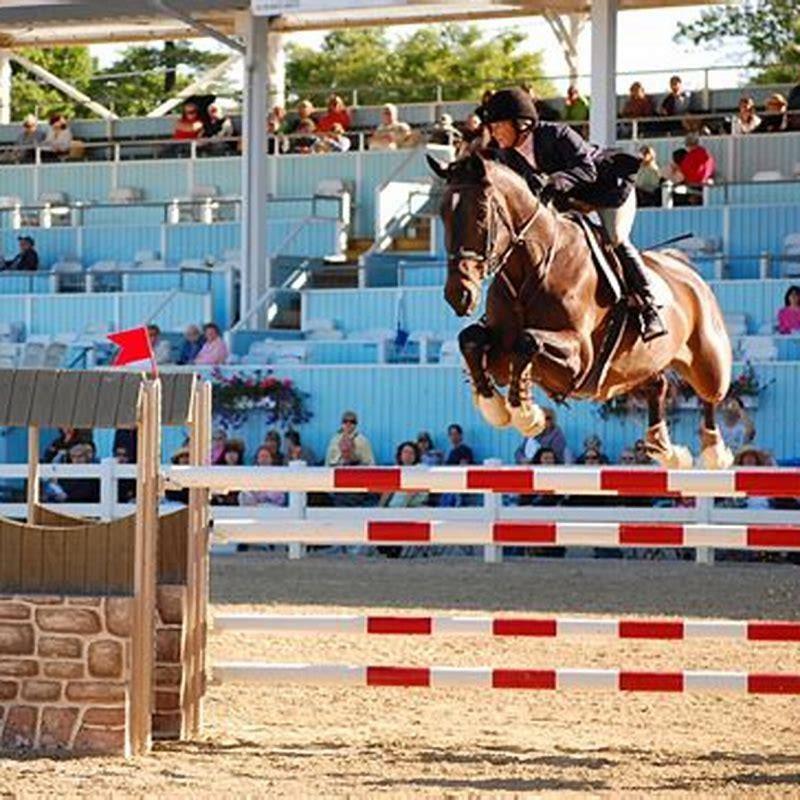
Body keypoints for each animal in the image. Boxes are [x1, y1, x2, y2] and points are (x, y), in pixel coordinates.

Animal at [428, 151, 733, 469]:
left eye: (480, 213)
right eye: (443, 214)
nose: (458, 295)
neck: (531, 268)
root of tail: (688, 271)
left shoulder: (580, 358)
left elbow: (528, 340)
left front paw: (526, 415)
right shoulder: (500, 351)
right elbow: (471, 338)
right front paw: (495, 406)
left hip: (708, 361)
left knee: (712, 395)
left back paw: (714, 451)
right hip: (631, 369)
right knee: (657, 384)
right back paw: (665, 449)